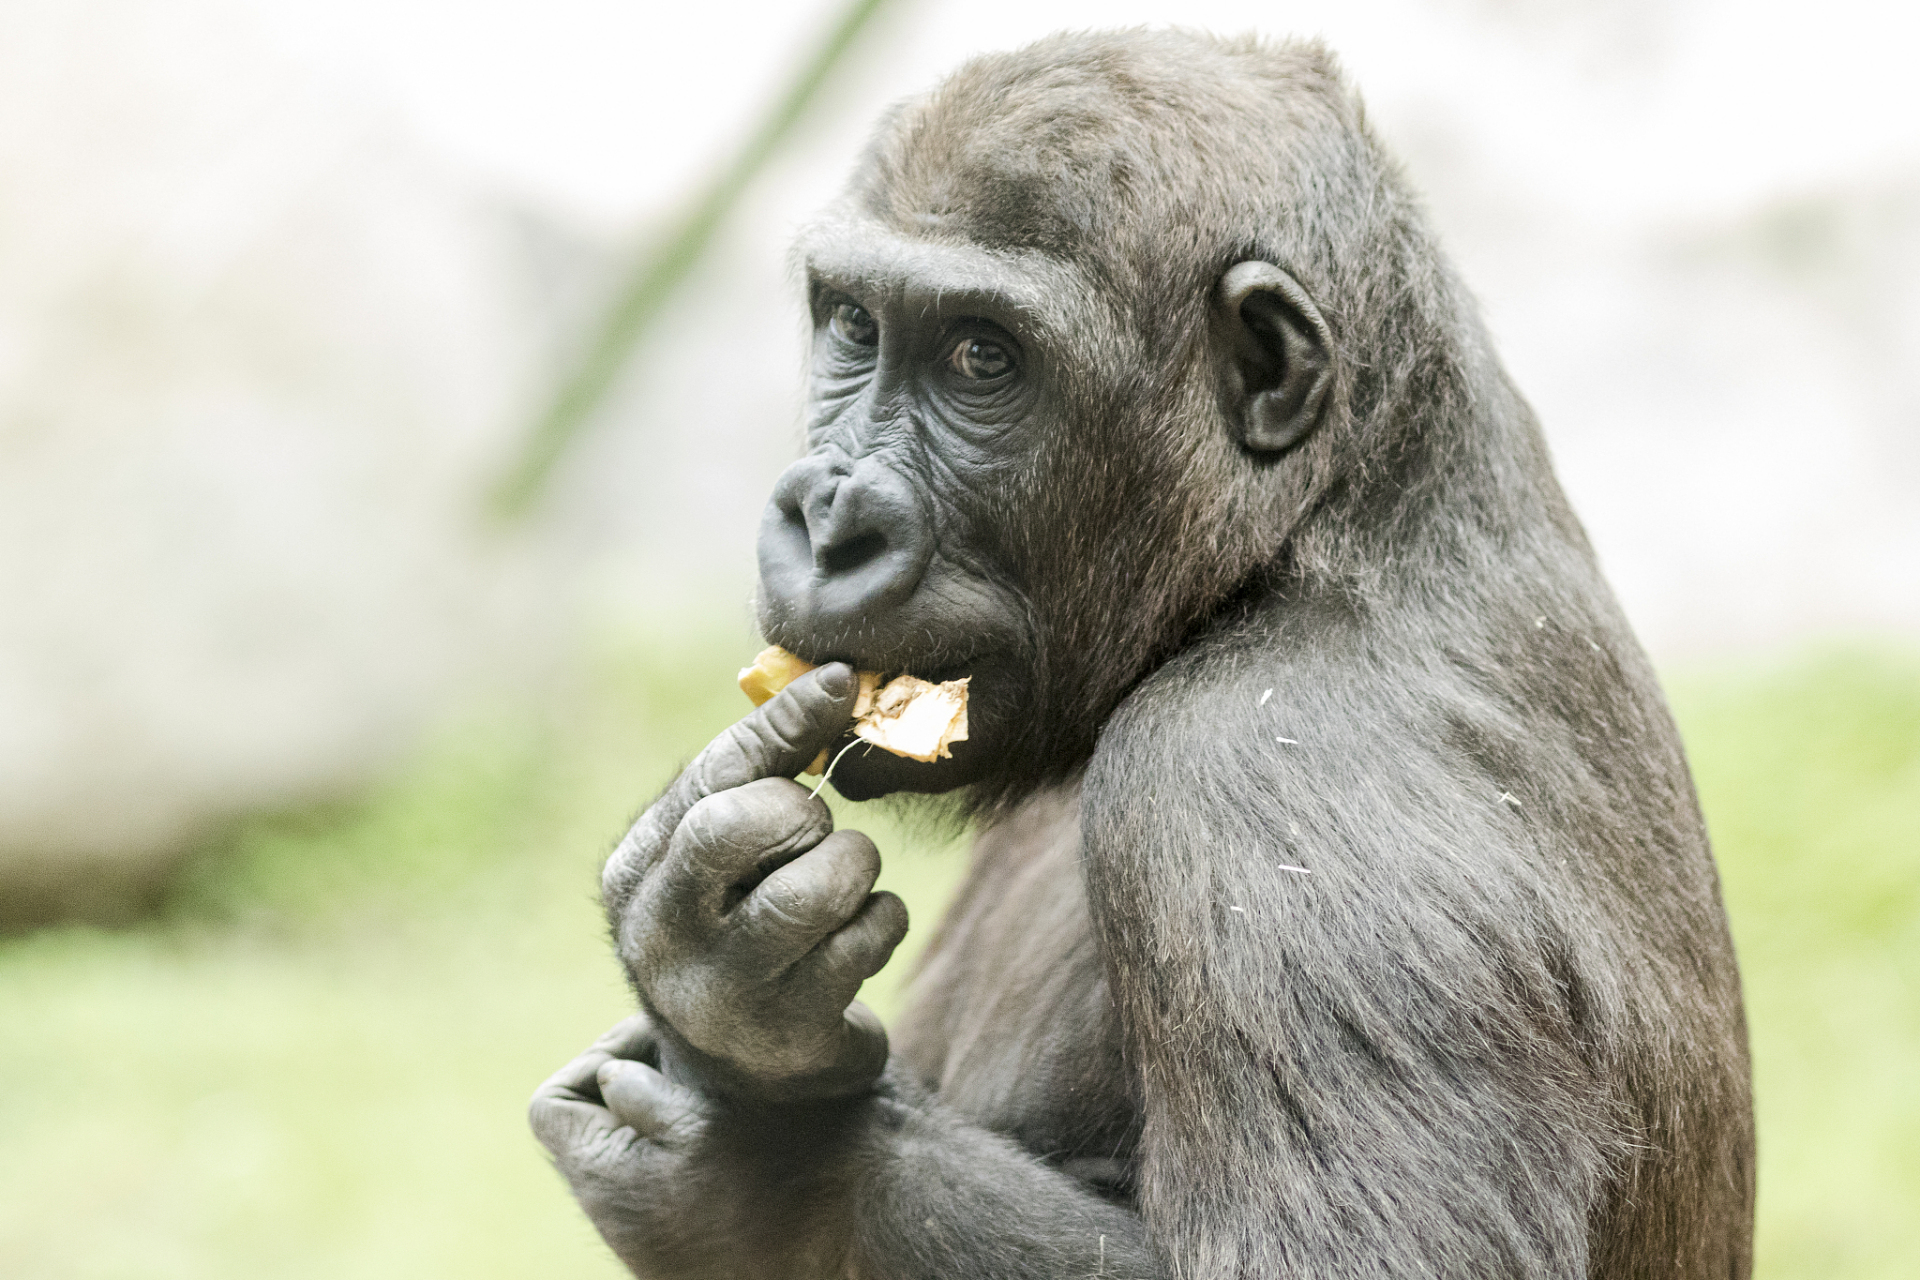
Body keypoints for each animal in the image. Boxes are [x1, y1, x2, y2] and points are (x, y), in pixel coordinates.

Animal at [526, 29, 1758, 1280]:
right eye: (856, 327)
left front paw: (769, 1141)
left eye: (982, 358)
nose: (828, 519)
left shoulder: (1263, 779)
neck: (1334, 517)